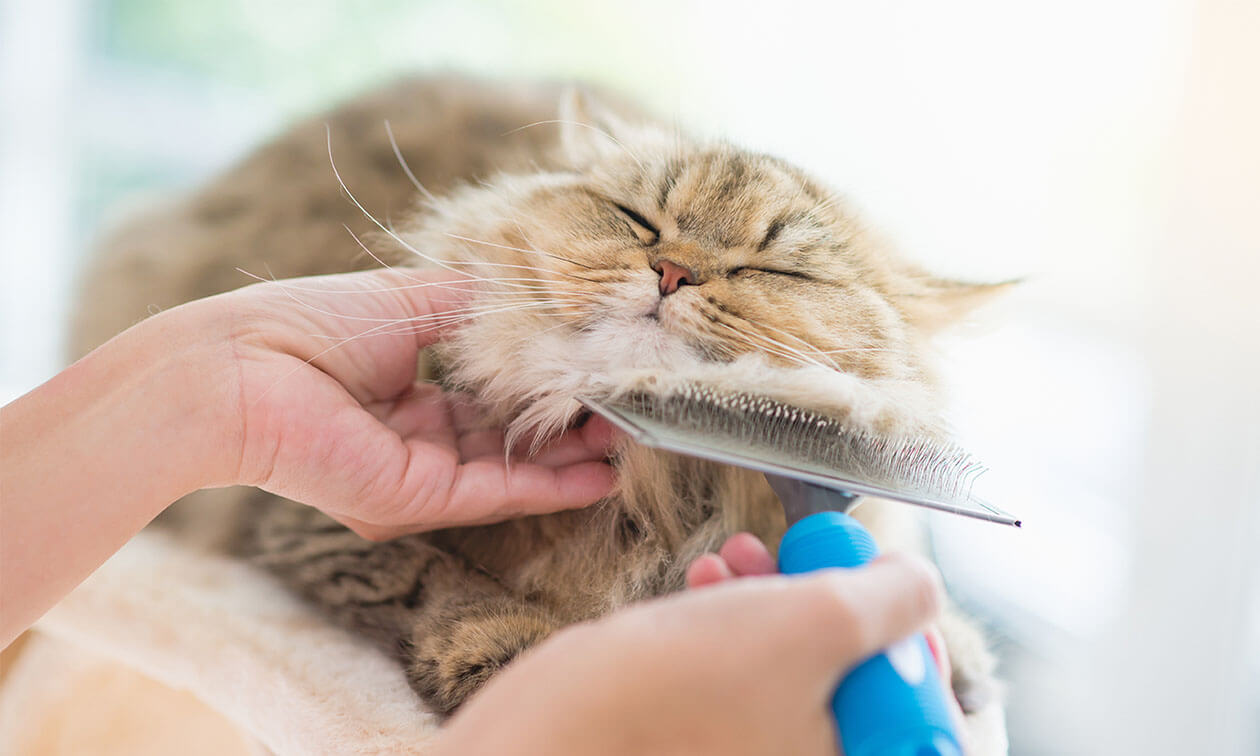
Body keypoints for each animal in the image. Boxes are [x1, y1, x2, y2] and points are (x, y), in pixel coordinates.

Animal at [73, 75, 1008, 750]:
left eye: (775, 270)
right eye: (638, 222)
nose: (672, 272)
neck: (649, 499)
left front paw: (956, 657)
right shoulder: (305, 518)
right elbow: (430, 578)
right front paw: (511, 649)